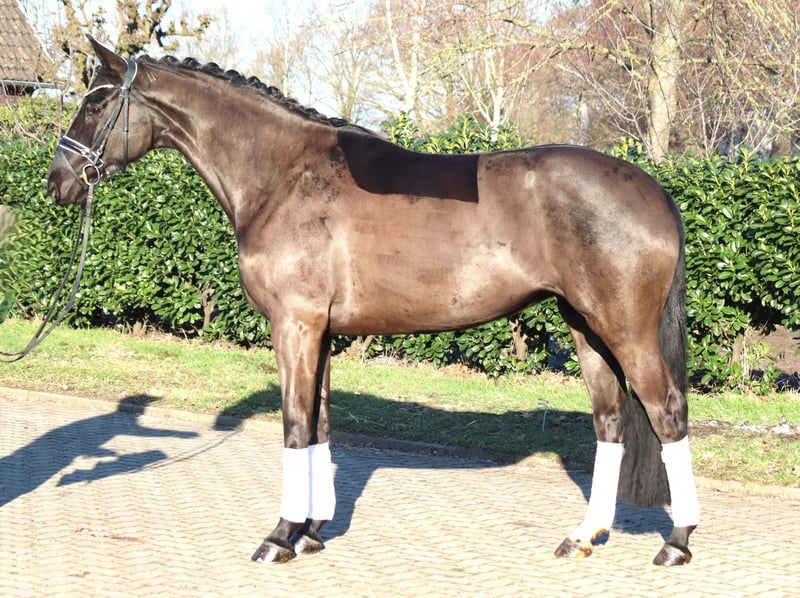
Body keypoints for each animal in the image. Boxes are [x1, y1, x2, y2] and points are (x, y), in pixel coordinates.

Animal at [47, 38, 700, 567]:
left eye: (96, 102)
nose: (58, 182)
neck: (283, 176)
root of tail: (653, 189)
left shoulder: (295, 327)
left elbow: (294, 426)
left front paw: (278, 537)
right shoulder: (320, 333)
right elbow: (319, 424)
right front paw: (311, 531)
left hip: (625, 330)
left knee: (665, 412)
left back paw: (676, 543)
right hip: (586, 329)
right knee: (611, 421)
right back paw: (584, 535)